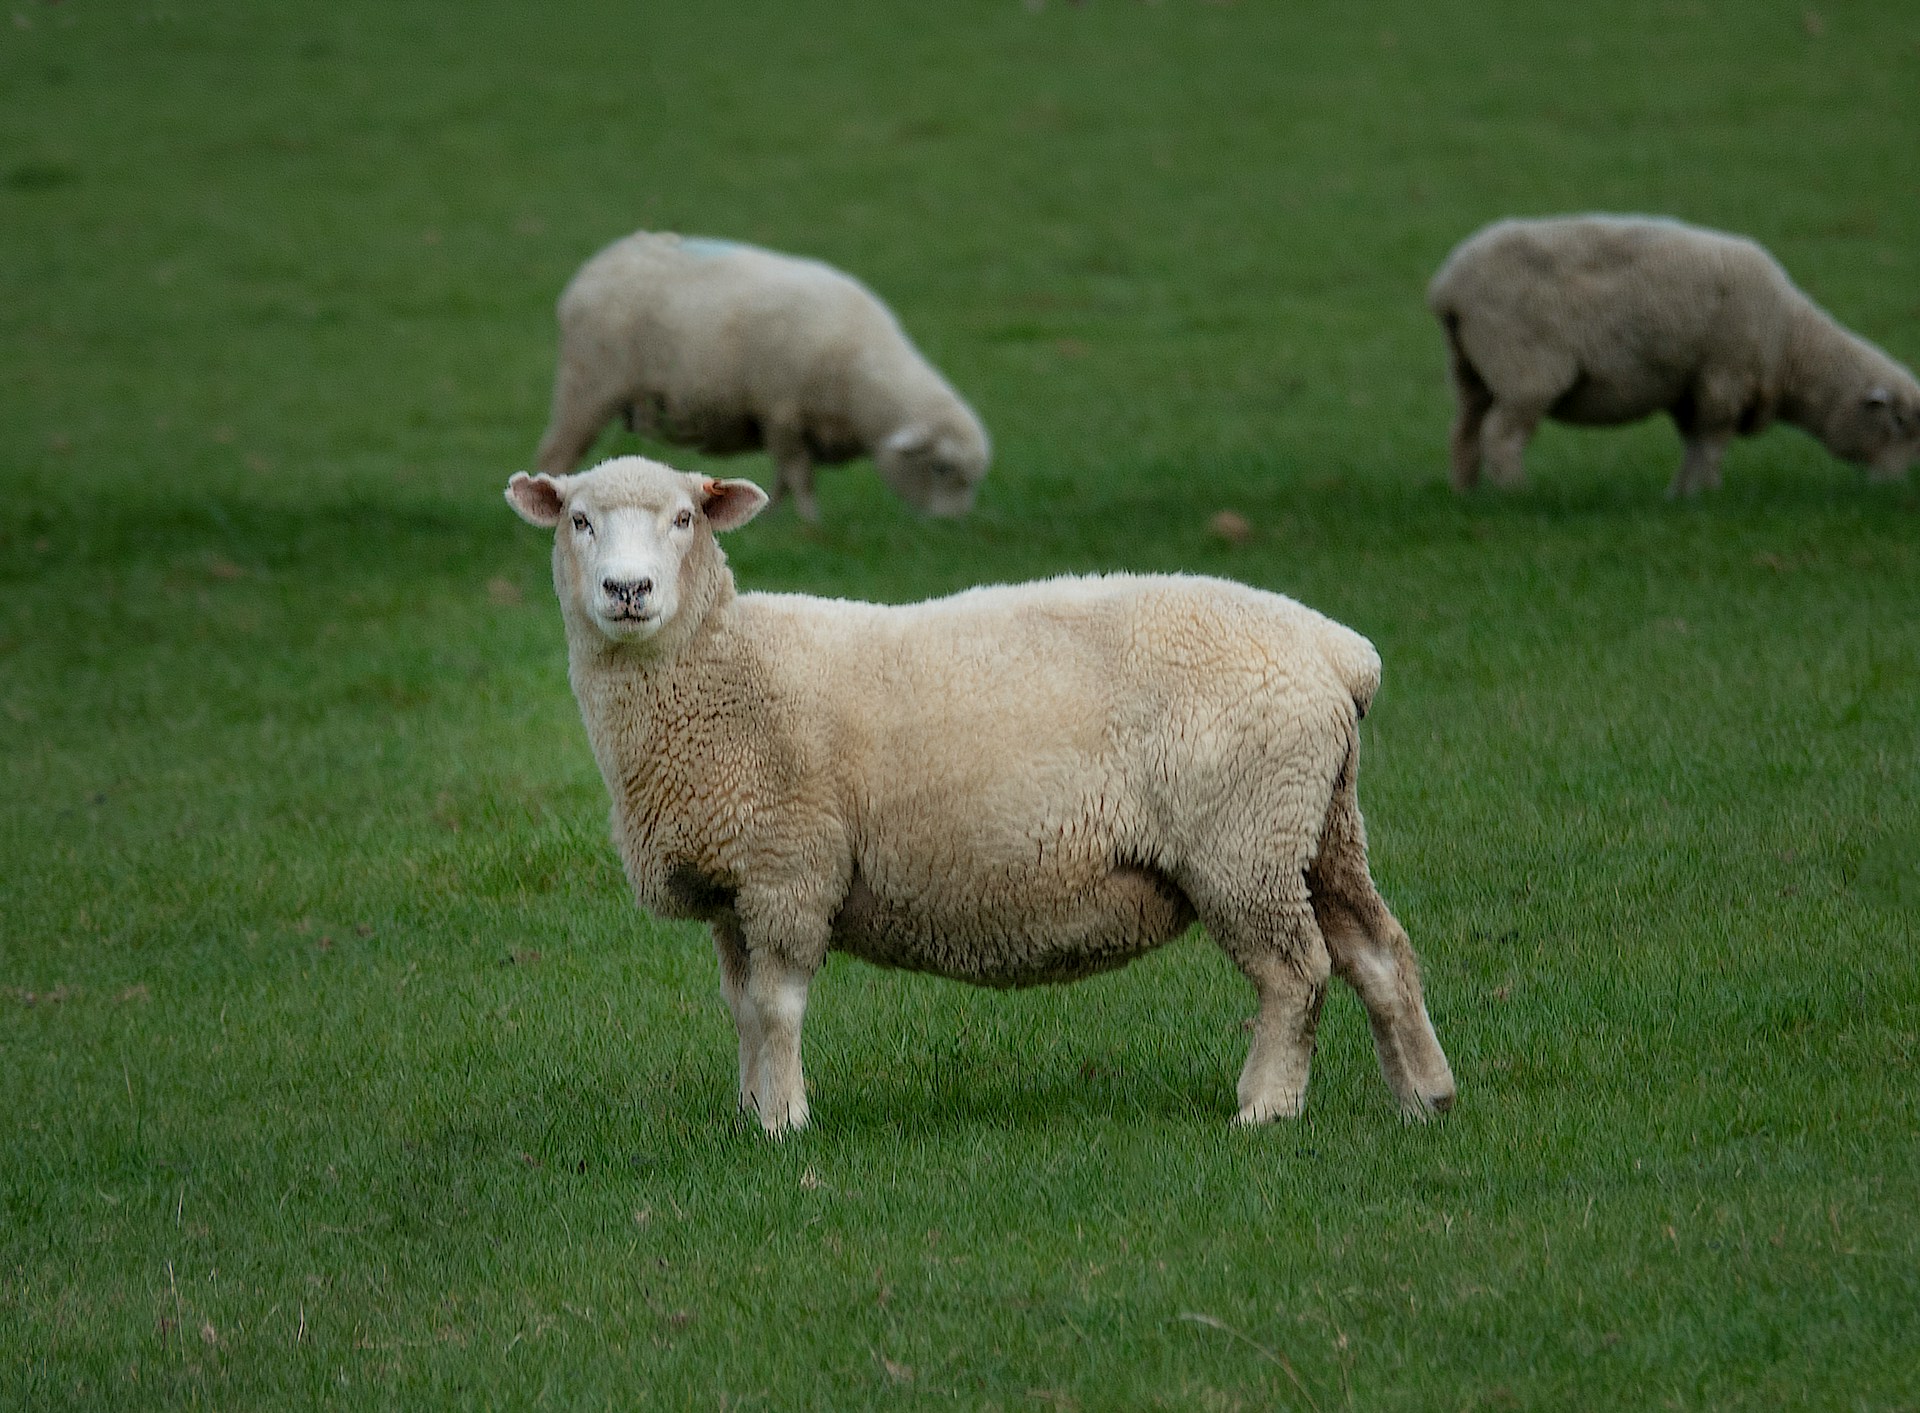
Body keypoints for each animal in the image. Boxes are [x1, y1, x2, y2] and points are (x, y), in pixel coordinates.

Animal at [505, 454, 1456, 1135]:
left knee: (1297, 971)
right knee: (1378, 951)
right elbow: (741, 1009)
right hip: (1319, 823)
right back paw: (1424, 1097)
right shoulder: (736, 883)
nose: (628, 590)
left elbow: (776, 1007)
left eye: (684, 518)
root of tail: (1337, 652)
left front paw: (783, 1122)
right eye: (580, 519)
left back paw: (1265, 1106)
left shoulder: (790, 865)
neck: (721, 668)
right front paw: (748, 1113)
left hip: (1243, 837)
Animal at [533, 232, 991, 523]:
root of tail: (594, 268)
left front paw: (770, 519)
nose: (952, 526)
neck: (861, 388)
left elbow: (783, 480)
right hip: (587, 384)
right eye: (941, 469)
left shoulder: (790, 424)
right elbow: (799, 476)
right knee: (555, 455)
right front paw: (811, 524)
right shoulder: (782, 413)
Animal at [1428, 215, 1920, 496]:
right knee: (1501, 436)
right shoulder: (1725, 378)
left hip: (1471, 369)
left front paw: (1681, 496)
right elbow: (1712, 443)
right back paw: (1517, 493)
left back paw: (1466, 493)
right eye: (1898, 422)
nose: (1895, 488)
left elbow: (1693, 443)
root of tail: (1449, 285)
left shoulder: (1690, 387)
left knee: (1464, 430)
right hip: (1524, 369)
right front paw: (1707, 494)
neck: (1792, 346)